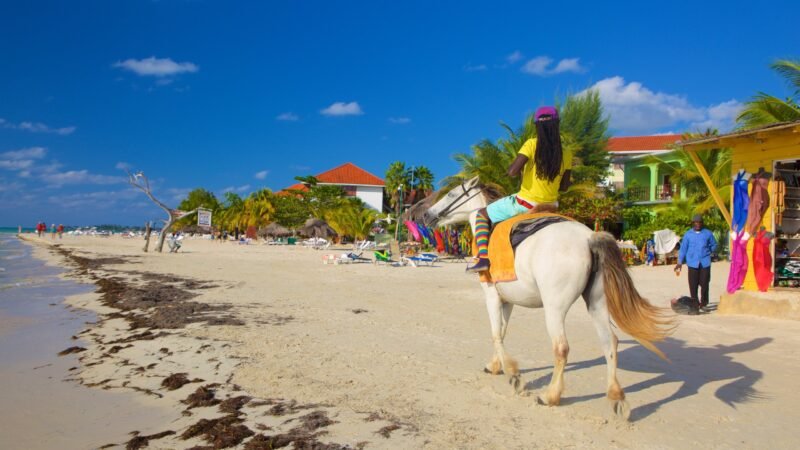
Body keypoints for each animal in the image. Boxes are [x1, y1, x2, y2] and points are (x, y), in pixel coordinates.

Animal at [424, 178, 676, 420]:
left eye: (451, 193)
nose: (426, 215)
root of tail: (588, 237)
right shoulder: (508, 301)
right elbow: (502, 332)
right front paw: (496, 365)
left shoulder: (491, 295)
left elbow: (495, 333)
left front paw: (514, 374)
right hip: (597, 303)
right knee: (610, 342)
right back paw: (616, 397)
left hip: (554, 308)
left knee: (561, 347)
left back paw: (551, 395)